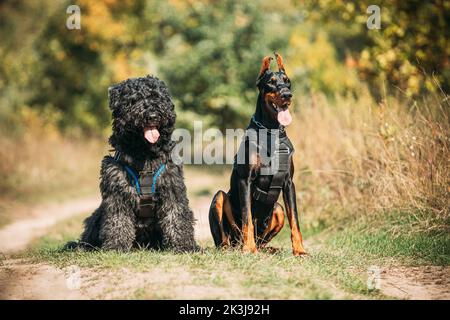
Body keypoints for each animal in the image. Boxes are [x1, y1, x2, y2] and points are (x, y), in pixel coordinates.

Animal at [75, 75, 197, 252]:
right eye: (135, 99)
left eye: (157, 97)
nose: (152, 115)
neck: (145, 153)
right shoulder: (117, 191)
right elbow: (118, 221)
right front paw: (116, 246)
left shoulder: (172, 187)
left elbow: (176, 217)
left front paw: (184, 245)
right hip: (96, 216)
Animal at [209, 53, 308, 258]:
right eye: (271, 83)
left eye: (287, 81)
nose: (287, 95)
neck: (270, 131)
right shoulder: (245, 180)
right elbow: (247, 216)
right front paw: (249, 248)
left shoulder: (288, 182)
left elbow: (295, 219)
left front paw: (300, 250)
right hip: (220, 198)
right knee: (225, 238)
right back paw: (236, 247)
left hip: (277, 209)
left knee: (264, 236)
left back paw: (268, 248)